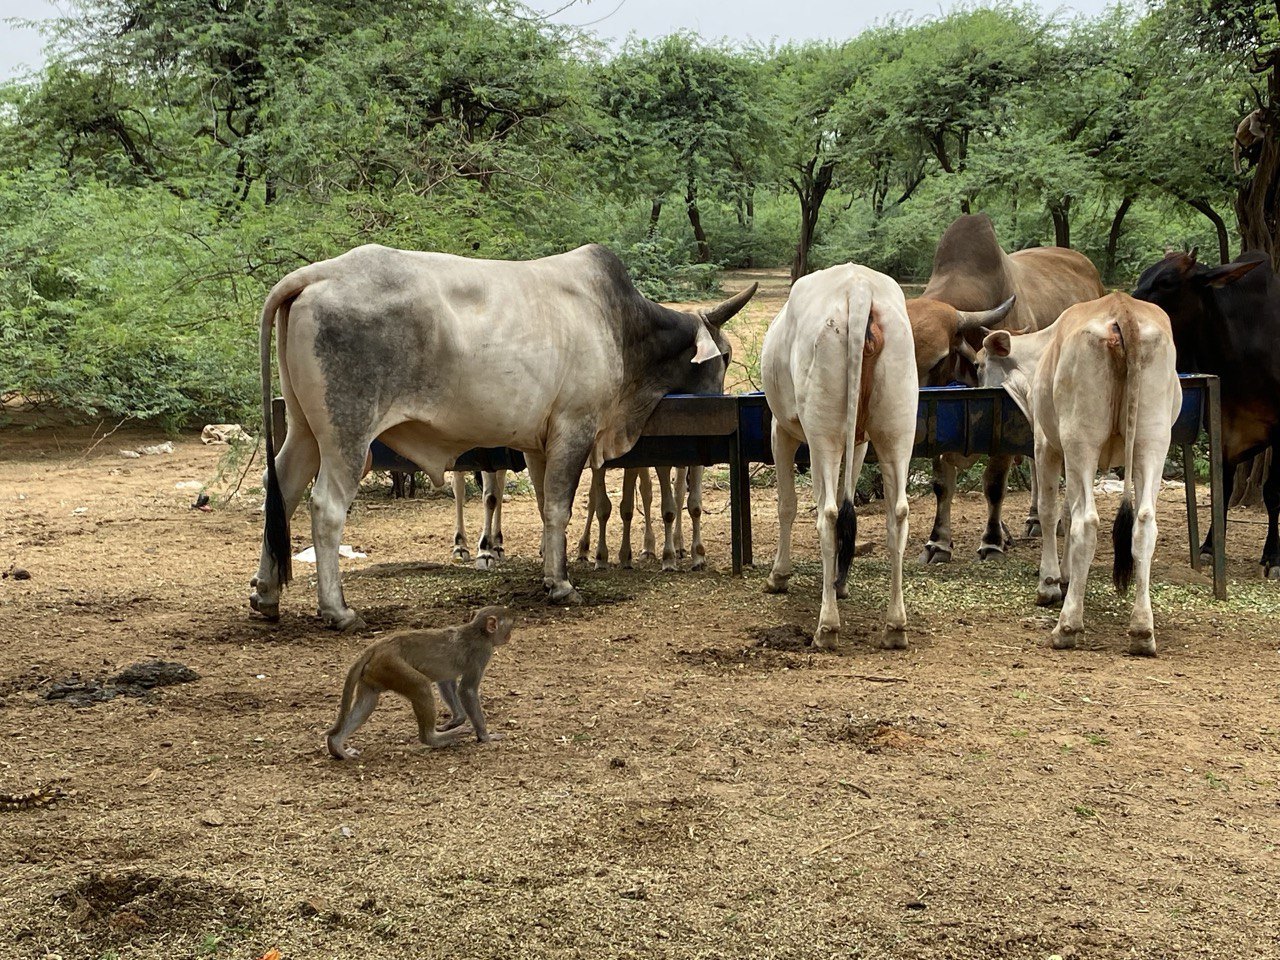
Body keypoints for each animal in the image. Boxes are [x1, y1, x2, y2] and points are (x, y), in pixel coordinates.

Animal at [247, 243, 756, 629]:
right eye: (727, 356)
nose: (721, 398)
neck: (619, 323)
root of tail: (315, 275)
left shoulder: (538, 444)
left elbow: (547, 508)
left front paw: (552, 570)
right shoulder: (574, 429)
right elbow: (560, 506)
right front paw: (561, 585)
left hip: (304, 431)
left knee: (283, 489)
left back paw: (266, 596)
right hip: (347, 436)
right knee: (325, 507)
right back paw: (337, 610)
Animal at [761, 263, 918, 649]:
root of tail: (860, 290)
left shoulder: (781, 430)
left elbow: (787, 504)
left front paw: (778, 576)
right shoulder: (859, 441)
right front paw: (840, 581)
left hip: (823, 434)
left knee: (829, 514)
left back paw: (827, 626)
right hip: (897, 426)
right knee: (897, 514)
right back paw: (895, 627)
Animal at [912, 213, 1105, 564]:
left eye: (939, 359)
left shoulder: (1002, 420)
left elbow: (994, 484)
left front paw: (991, 541)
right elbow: (942, 484)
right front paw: (938, 542)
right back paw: (1034, 519)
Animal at [978, 293, 1181, 655]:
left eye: (977, 365)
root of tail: (1122, 308)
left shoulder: (1046, 444)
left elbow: (1052, 512)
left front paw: (1049, 583)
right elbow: (1068, 511)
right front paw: (1068, 574)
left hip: (1081, 441)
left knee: (1087, 522)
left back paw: (1068, 626)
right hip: (1152, 442)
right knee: (1144, 523)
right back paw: (1142, 631)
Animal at [1132, 250, 1275, 575]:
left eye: (1166, 282)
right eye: (1143, 275)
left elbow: (1274, 492)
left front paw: (1273, 557)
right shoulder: (1223, 425)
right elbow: (1221, 487)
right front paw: (1210, 547)